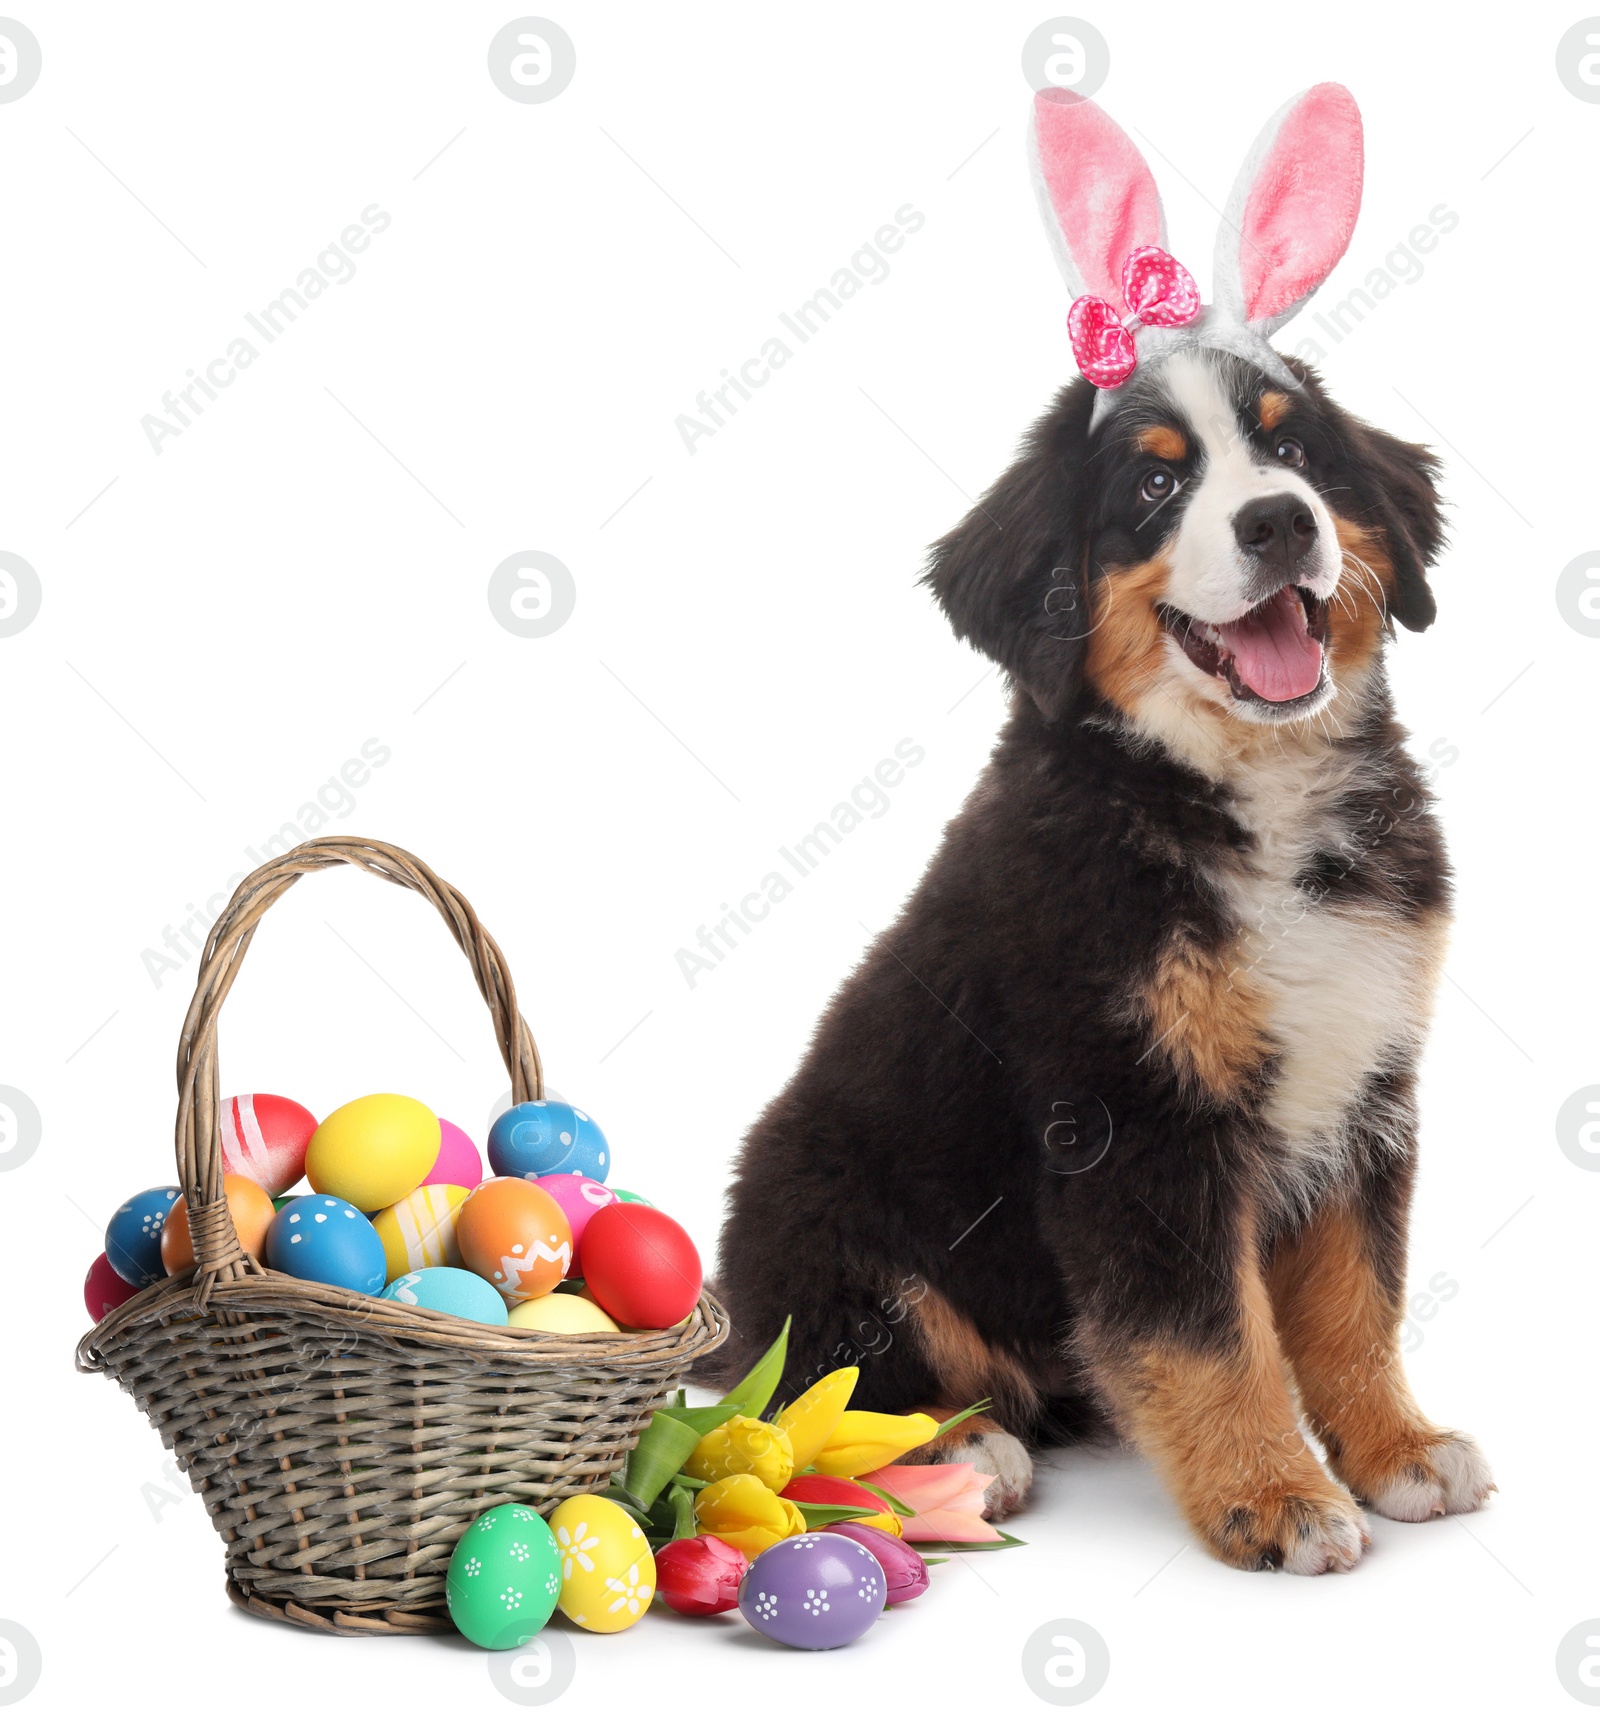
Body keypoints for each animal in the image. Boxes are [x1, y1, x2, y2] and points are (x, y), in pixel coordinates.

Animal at [706, 84, 1496, 1579]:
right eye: (1151, 489)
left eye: (1292, 449)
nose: (1278, 522)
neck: (1240, 795)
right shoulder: (1127, 1113)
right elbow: (1208, 1332)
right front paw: (1273, 1495)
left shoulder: (1366, 1082)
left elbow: (1353, 1299)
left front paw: (1395, 1448)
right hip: (832, 1212)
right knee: (817, 1379)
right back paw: (959, 1453)